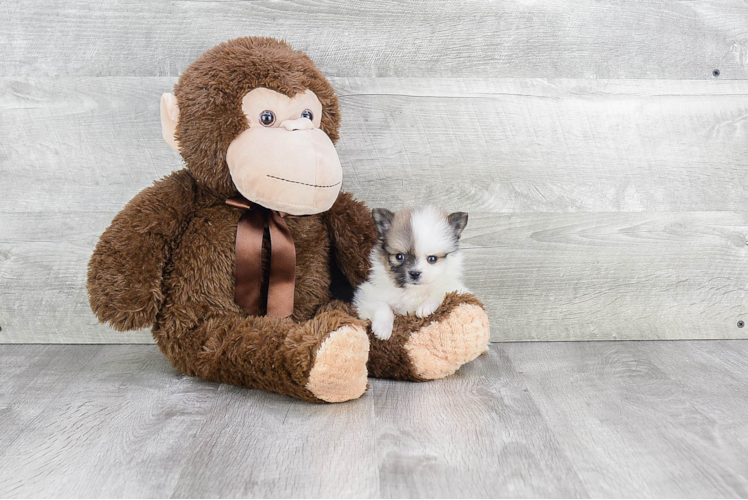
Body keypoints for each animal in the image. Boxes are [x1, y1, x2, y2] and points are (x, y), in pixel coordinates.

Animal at [356, 204, 468, 340]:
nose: (414, 273)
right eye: (399, 256)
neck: (413, 290)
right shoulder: (365, 296)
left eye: (432, 259)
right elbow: (382, 305)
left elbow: (441, 293)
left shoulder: (457, 289)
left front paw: (426, 307)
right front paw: (383, 328)